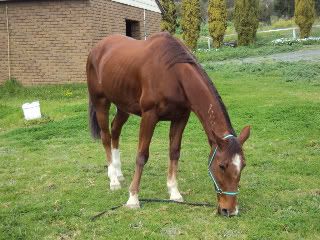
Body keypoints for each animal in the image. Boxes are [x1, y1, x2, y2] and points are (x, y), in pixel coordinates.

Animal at [87, 32, 250, 216]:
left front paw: (174, 192)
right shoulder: (149, 116)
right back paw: (113, 179)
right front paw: (133, 198)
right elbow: (141, 156)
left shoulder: (181, 118)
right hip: (101, 102)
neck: (173, 75)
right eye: (222, 166)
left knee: (115, 130)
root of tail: (97, 48)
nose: (230, 210)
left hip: (123, 105)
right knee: (106, 136)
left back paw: (119, 172)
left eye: (243, 165)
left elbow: (174, 152)